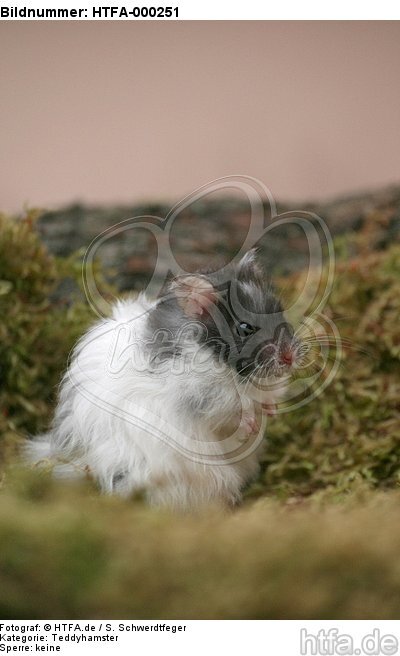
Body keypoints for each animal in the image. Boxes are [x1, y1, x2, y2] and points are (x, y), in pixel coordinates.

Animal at [27, 249, 298, 510]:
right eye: (244, 328)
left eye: (280, 308)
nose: (289, 357)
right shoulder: (206, 399)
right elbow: (235, 413)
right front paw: (252, 424)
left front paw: (272, 412)